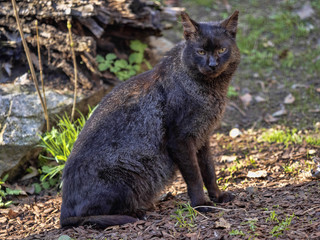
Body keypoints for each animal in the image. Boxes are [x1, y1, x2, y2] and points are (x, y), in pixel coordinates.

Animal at [60, 10, 240, 229]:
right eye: (200, 52)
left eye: (222, 49)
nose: (212, 65)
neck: (209, 90)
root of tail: (62, 212)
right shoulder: (180, 141)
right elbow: (195, 177)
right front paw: (201, 204)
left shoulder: (202, 137)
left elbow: (209, 171)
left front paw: (217, 196)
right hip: (129, 175)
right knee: (88, 216)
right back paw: (138, 213)